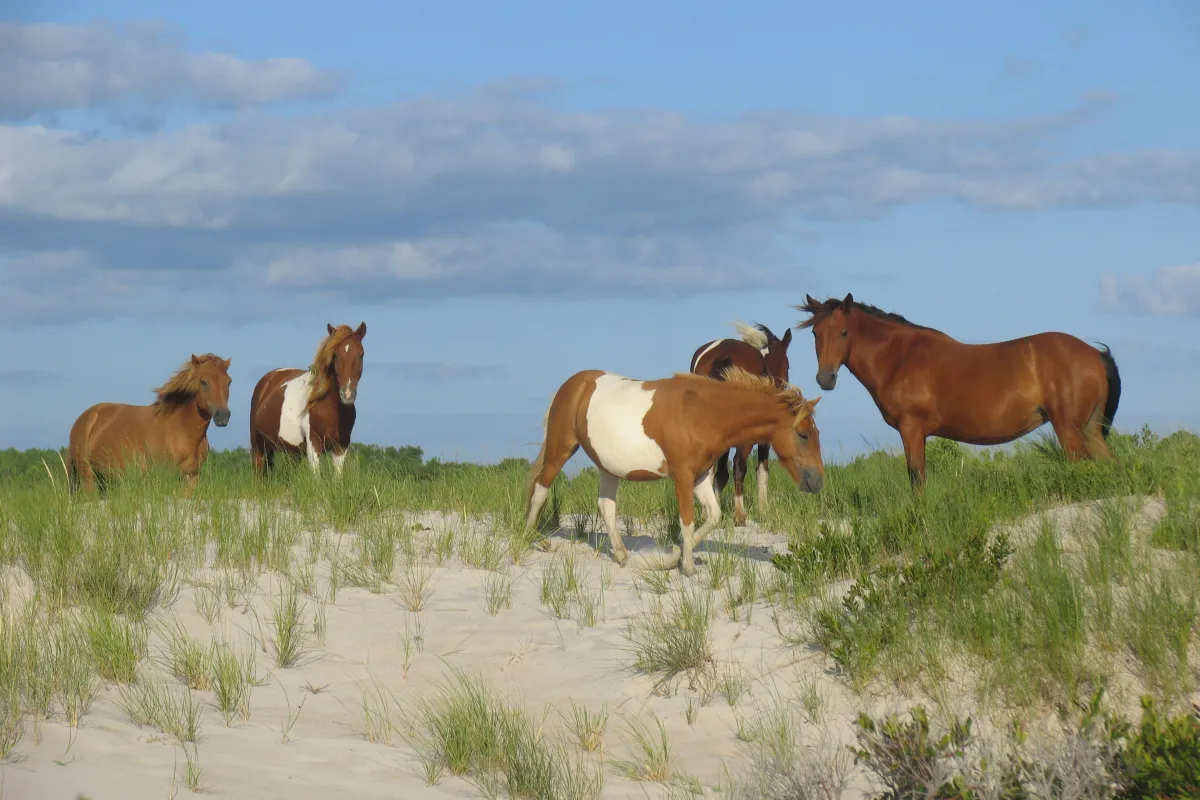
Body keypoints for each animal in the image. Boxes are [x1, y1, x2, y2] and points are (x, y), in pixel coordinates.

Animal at [68, 353, 232, 495]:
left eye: (229, 382)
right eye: (204, 382)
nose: (223, 416)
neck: (181, 429)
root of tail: (84, 418)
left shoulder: (191, 477)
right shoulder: (165, 477)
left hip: (104, 479)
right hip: (88, 477)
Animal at [249, 323, 367, 476]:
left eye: (361, 354)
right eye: (335, 355)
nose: (347, 394)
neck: (330, 409)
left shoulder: (340, 447)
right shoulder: (313, 445)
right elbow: (316, 477)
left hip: (292, 452)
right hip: (258, 446)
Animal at [524, 366, 823, 576]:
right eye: (804, 434)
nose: (817, 482)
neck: (703, 413)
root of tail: (572, 385)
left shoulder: (700, 476)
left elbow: (713, 516)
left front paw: (676, 555)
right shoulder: (682, 476)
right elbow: (687, 521)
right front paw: (686, 567)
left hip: (609, 468)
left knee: (606, 507)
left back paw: (622, 556)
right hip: (560, 450)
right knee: (540, 491)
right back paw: (527, 539)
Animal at [689, 321, 793, 525]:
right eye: (788, 365)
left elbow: (720, 474)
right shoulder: (764, 442)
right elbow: (762, 472)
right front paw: (763, 510)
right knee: (739, 465)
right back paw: (739, 514)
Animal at [795, 293, 1121, 488]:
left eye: (844, 332)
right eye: (815, 333)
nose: (826, 378)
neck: (900, 357)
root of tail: (1095, 354)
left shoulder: (912, 430)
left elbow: (917, 479)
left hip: (1069, 430)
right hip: (1090, 429)